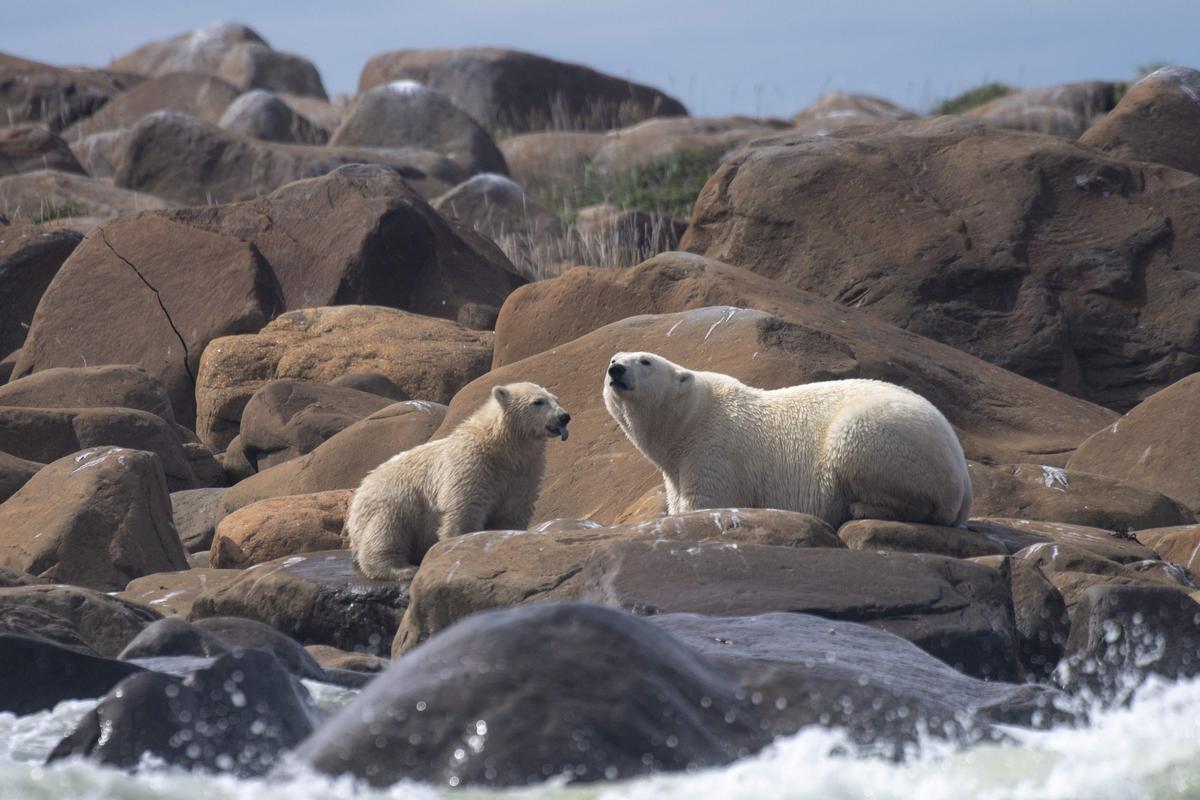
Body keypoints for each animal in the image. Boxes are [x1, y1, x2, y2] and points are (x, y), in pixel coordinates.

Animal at [604, 352, 969, 527]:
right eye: (614, 357)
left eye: (645, 360)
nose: (616, 369)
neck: (691, 418)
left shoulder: (715, 449)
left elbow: (707, 503)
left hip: (889, 438)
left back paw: (861, 507)